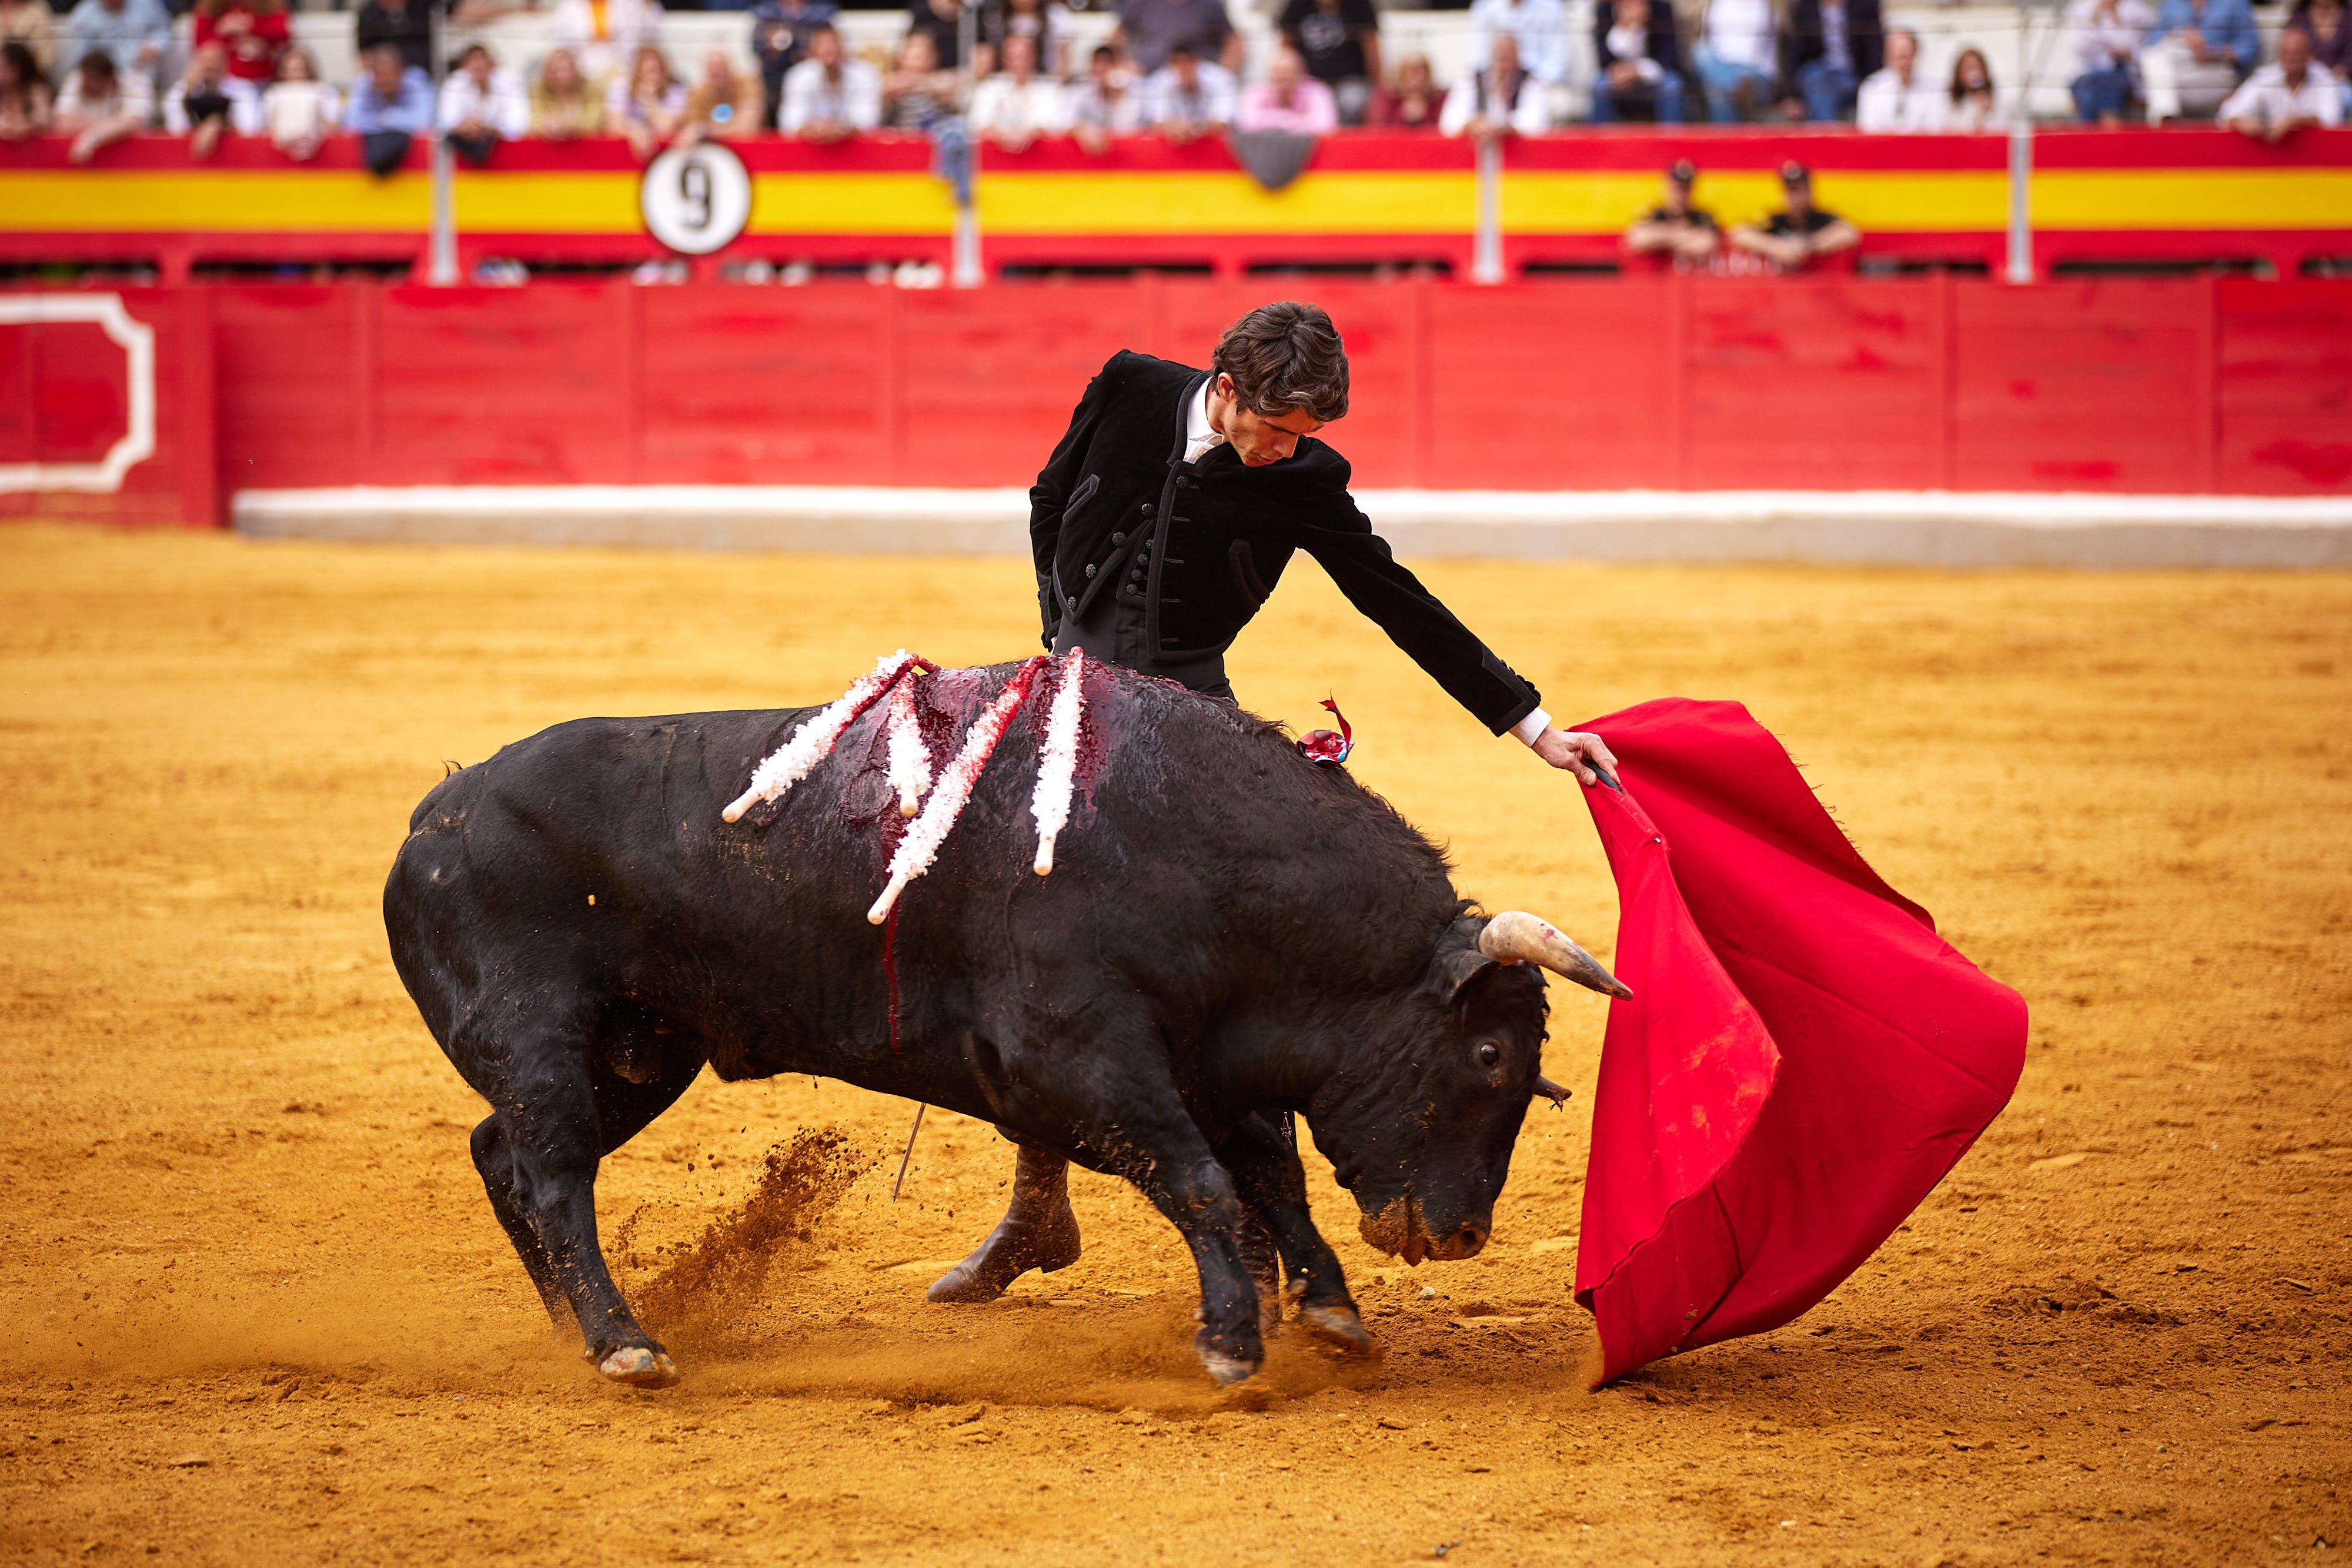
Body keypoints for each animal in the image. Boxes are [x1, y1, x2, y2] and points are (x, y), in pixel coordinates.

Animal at [386, 658, 1628, 1382]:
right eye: (1487, 1052)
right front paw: (1233, 1342)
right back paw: (625, 1342)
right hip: (544, 1031)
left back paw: (571, 1327)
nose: (1458, 1233)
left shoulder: (1202, 1059)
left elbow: (1267, 1173)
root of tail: (435, 811)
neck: (1202, 854)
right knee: (553, 1166)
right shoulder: (1078, 1057)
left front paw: (1328, 1312)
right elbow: (1204, 1181)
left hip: (642, 1051)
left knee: (504, 1151)